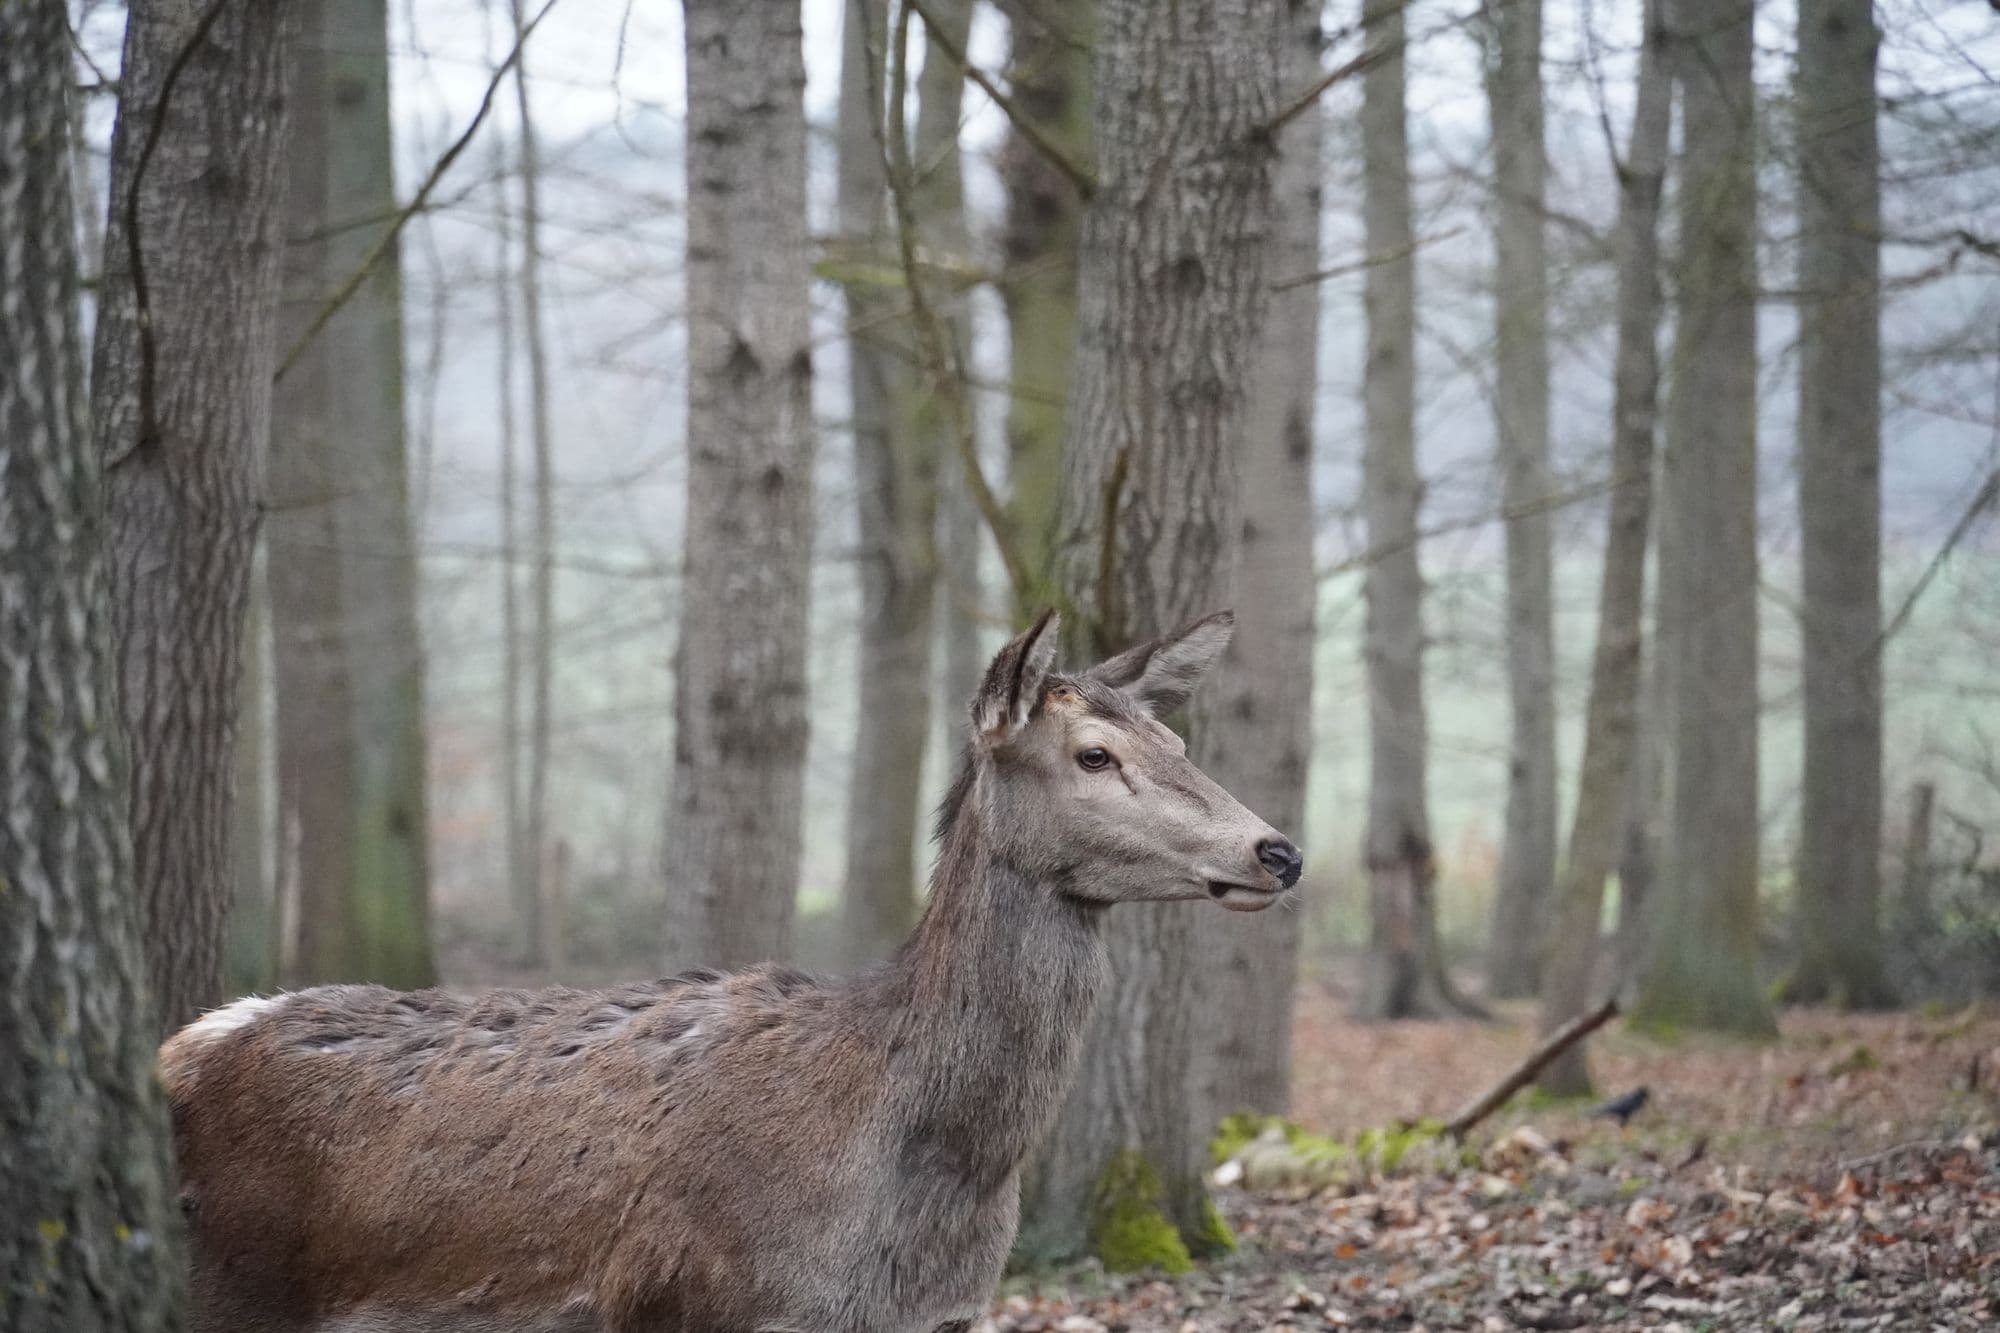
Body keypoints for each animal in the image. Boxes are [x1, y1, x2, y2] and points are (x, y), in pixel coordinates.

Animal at [159, 609, 1304, 1333]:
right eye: (1092, 755)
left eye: (1178, 740)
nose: (1277, 850)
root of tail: (189, 1047)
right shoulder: (683, 1296)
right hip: (244, 1290)